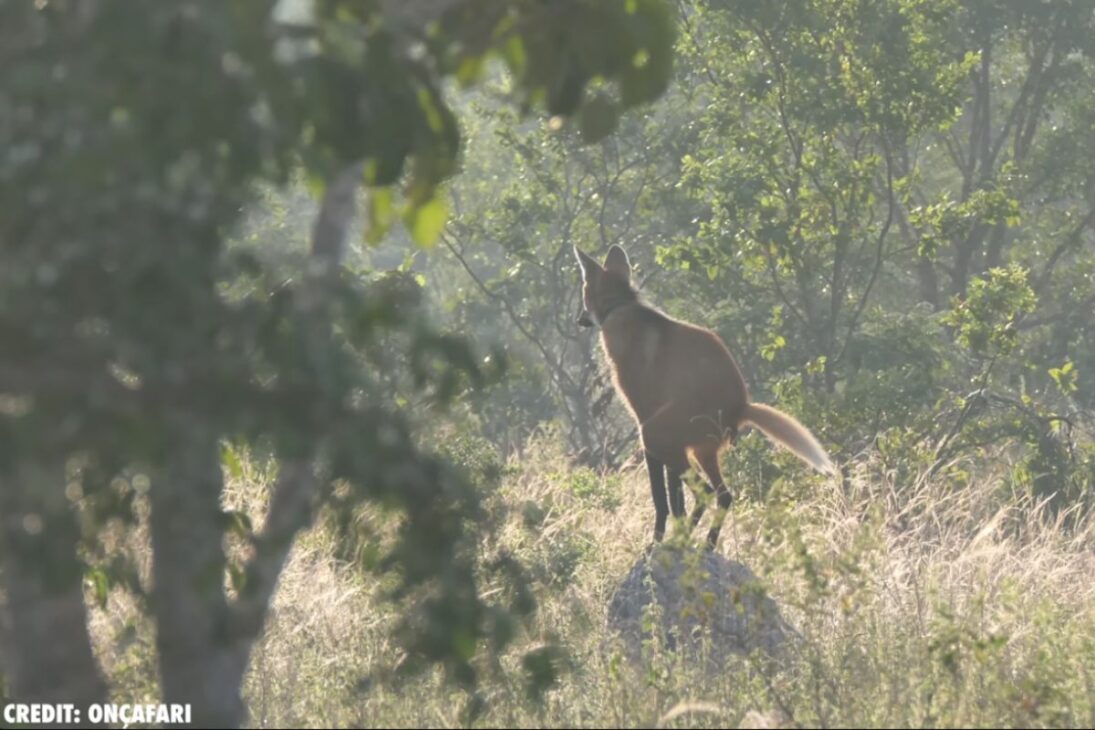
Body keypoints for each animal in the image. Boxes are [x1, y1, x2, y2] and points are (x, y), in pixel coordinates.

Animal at [574, 244, 834, 549]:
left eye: (583, 295)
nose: (578, 320)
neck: (621, 307)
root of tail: (742, 405)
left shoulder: (644, 423)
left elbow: (662, 501)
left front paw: (657, 542)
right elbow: (676, 502)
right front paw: (674, 539)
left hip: (658, 435)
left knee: (706, 492)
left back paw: (691, 543)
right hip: (700, 451)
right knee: (723, 494)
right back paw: (704, 545)